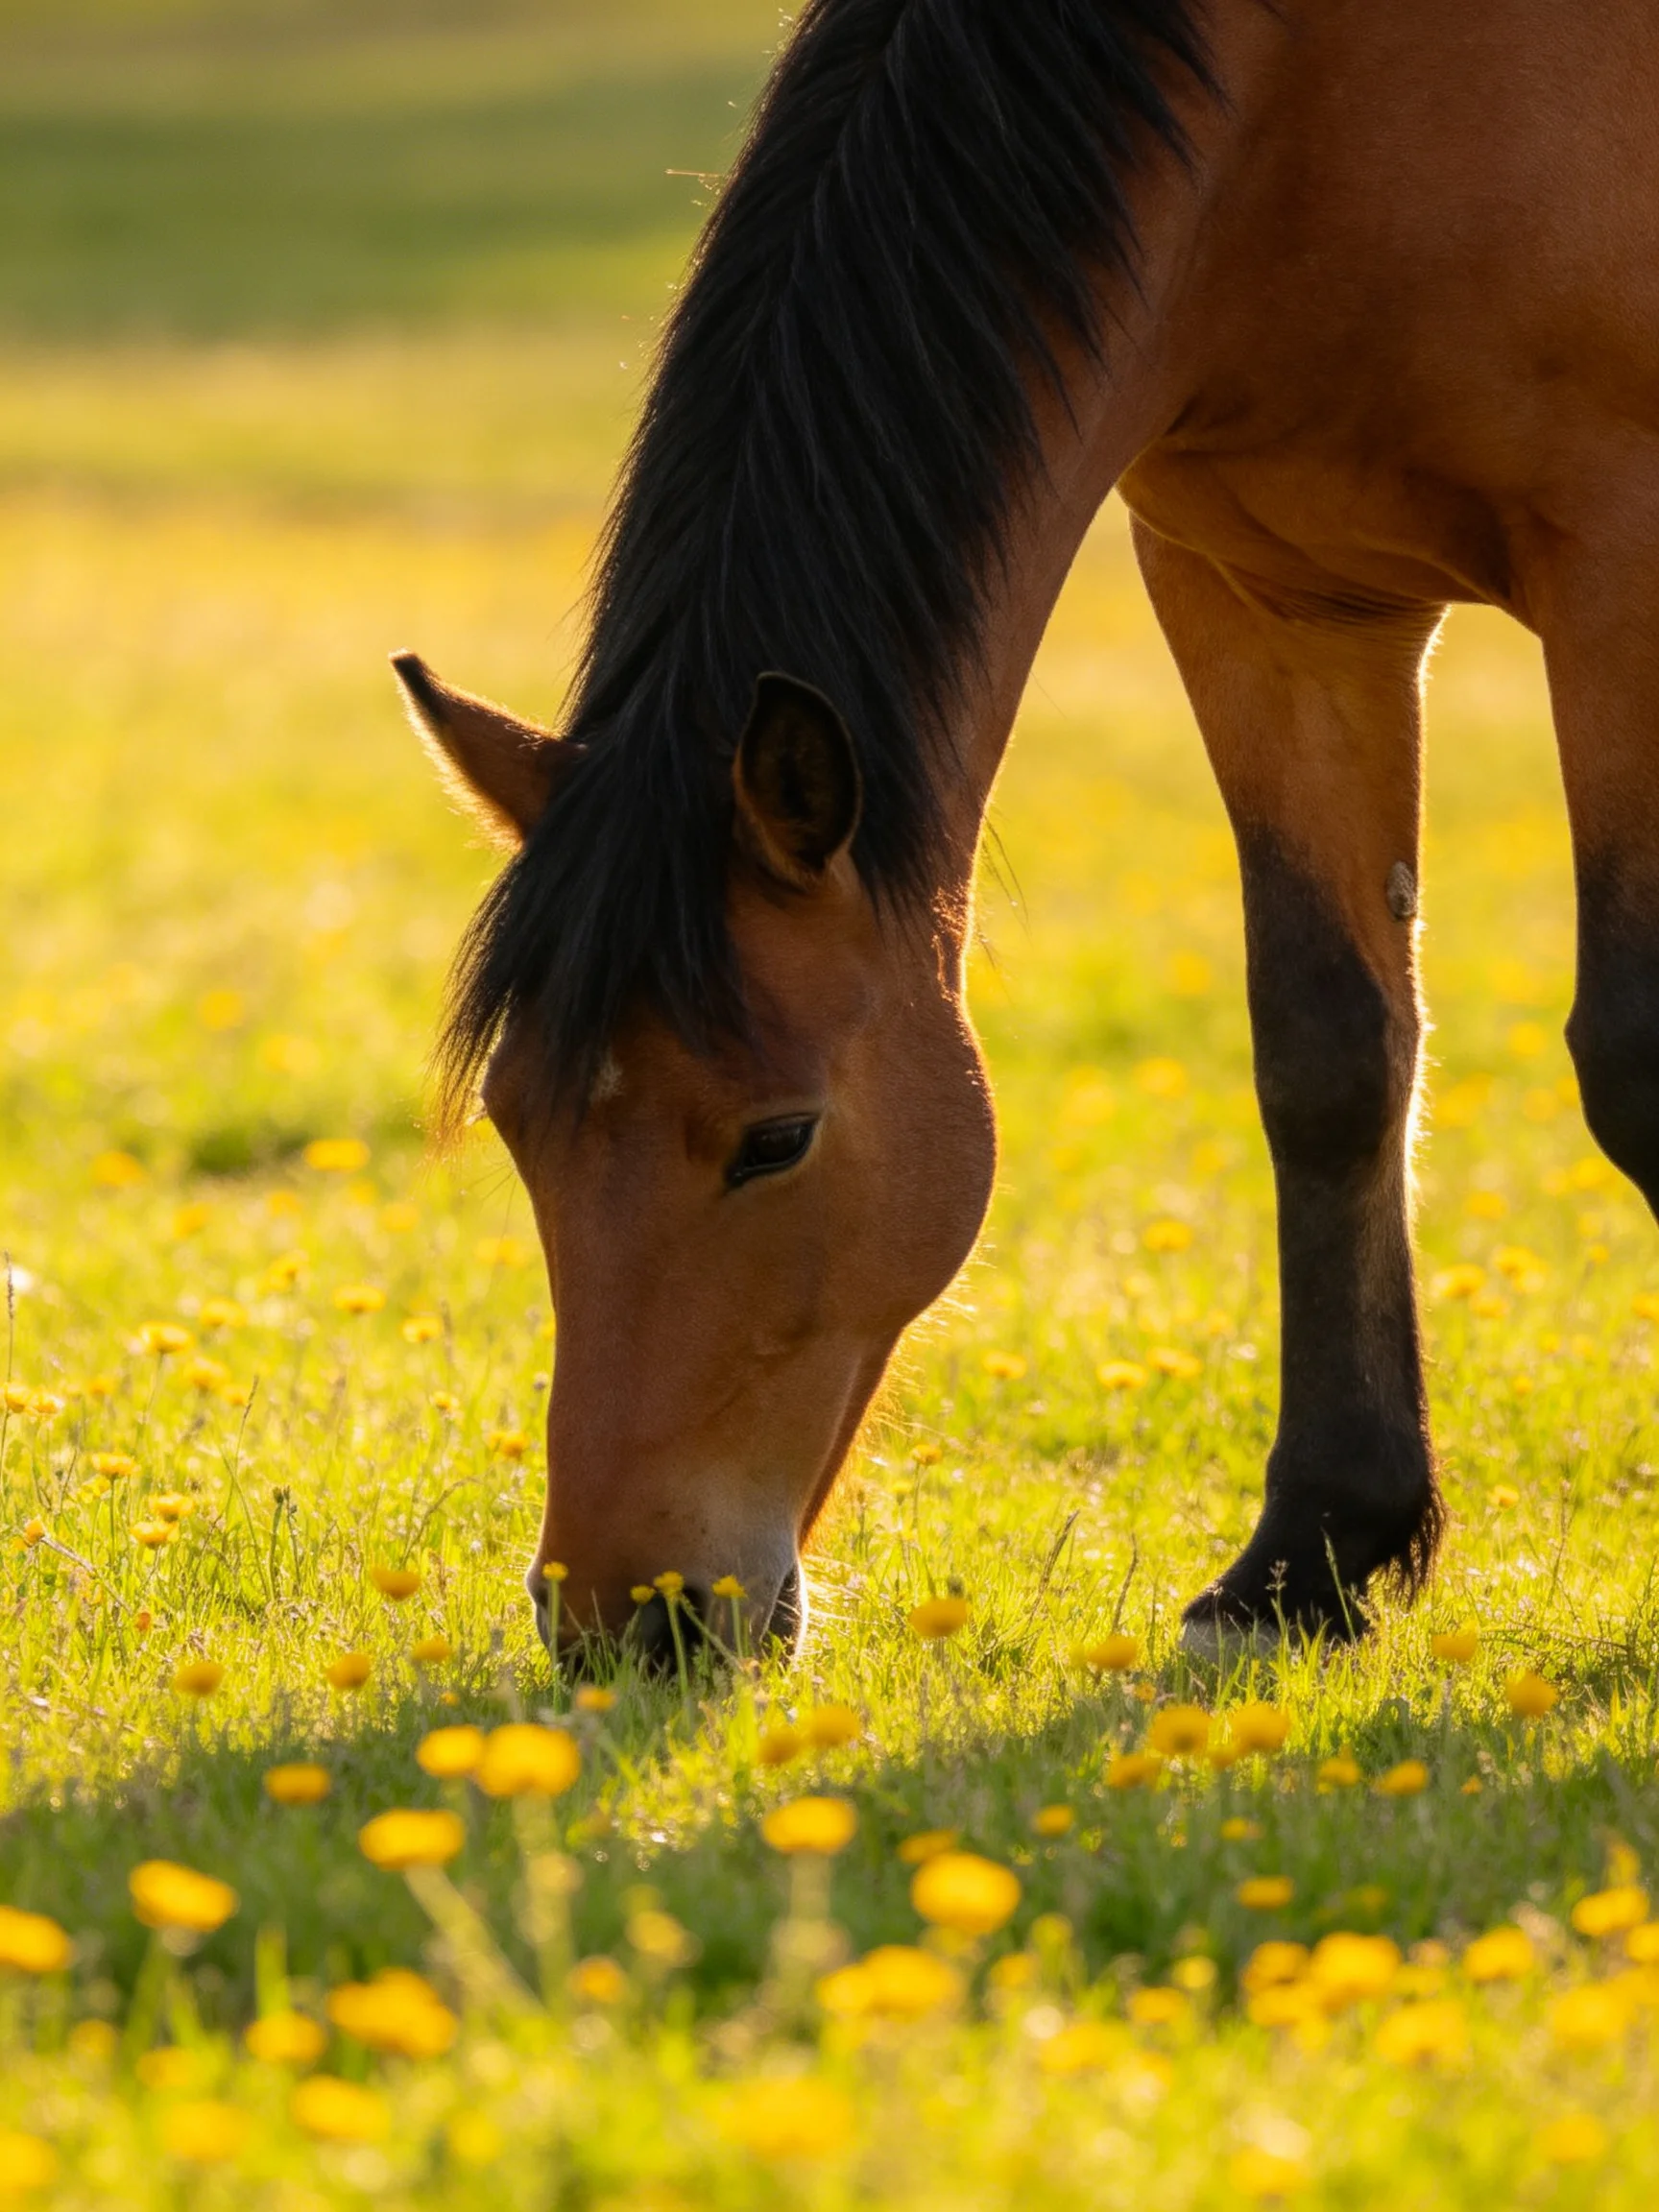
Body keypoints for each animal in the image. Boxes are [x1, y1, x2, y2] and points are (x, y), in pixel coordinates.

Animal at [393, 0, 1659, 1662]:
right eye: (519, 1122)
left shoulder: (1623, 562)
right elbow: (1329, 1055)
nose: (626, 1620)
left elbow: (1637, 1064)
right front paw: (1314, 1553)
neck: (1320, 99)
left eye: (778, 1140)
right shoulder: (1272, 600)